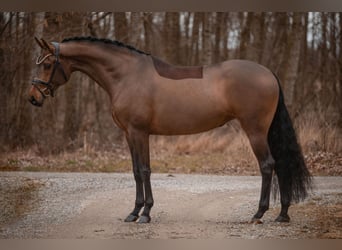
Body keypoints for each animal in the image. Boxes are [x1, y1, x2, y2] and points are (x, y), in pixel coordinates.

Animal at [29, 36, 312, 224]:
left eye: (46, 64)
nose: (33, 98)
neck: (126, 75)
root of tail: (268, 73)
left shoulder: (139, 133)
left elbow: (144, 170)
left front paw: (145, 214)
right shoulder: (128, 135)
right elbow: (135, 171)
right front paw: (133, 212)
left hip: (255, 131)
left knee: (267, 165)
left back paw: (259, 213)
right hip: (266, 132)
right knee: (281, 164)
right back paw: (283, 214)